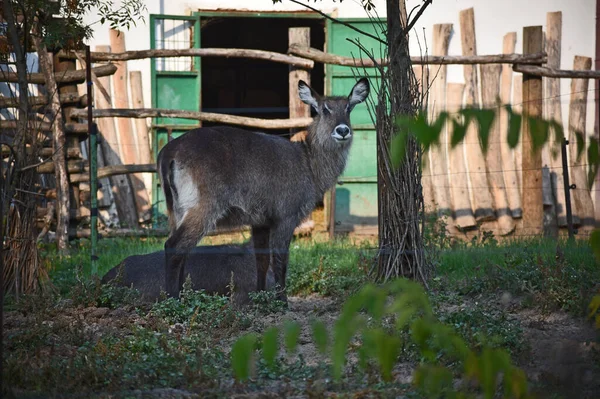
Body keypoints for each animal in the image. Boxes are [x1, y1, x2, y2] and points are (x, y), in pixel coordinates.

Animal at [157, 77, 368, 304]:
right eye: (324, 109)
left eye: (348, 107)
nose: (343, 130)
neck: (309, 163)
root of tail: (169, 152)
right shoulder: (286, 216)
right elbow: (280, 258)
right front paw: (282, 300)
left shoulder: (260, 221)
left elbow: (261, 258)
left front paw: (259, 294)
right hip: (203, 207)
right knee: (174, 246)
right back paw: (173, 300)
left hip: (176, 210)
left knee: (182, 250)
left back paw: (181, 296)